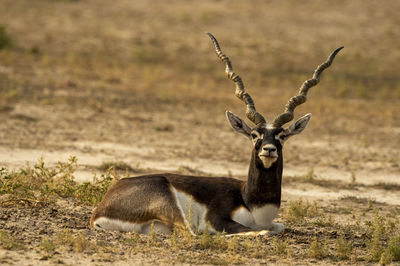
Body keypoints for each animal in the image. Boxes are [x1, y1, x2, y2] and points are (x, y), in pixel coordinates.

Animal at [91, 32, 344, 235]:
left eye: (282, 135)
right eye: (254, 134)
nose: (269, 149)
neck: (251, 201)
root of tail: (101, 208)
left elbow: (278, 226)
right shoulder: (216, 219)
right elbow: (258, 231)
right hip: (170, 204)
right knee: (192, 233)